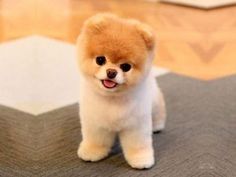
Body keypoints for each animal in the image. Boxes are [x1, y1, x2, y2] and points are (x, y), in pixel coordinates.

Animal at [76, 13, 166, 169]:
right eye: (100, 60)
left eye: (126, 67)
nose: (111, 72)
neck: (113, 98)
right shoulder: (96, 122)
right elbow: (96, 139)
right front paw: (92, 151)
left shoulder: (136, 125)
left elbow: (138, 144)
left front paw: (140, 158)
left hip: (154, 101)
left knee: (158, 112)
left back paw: (157, 125)